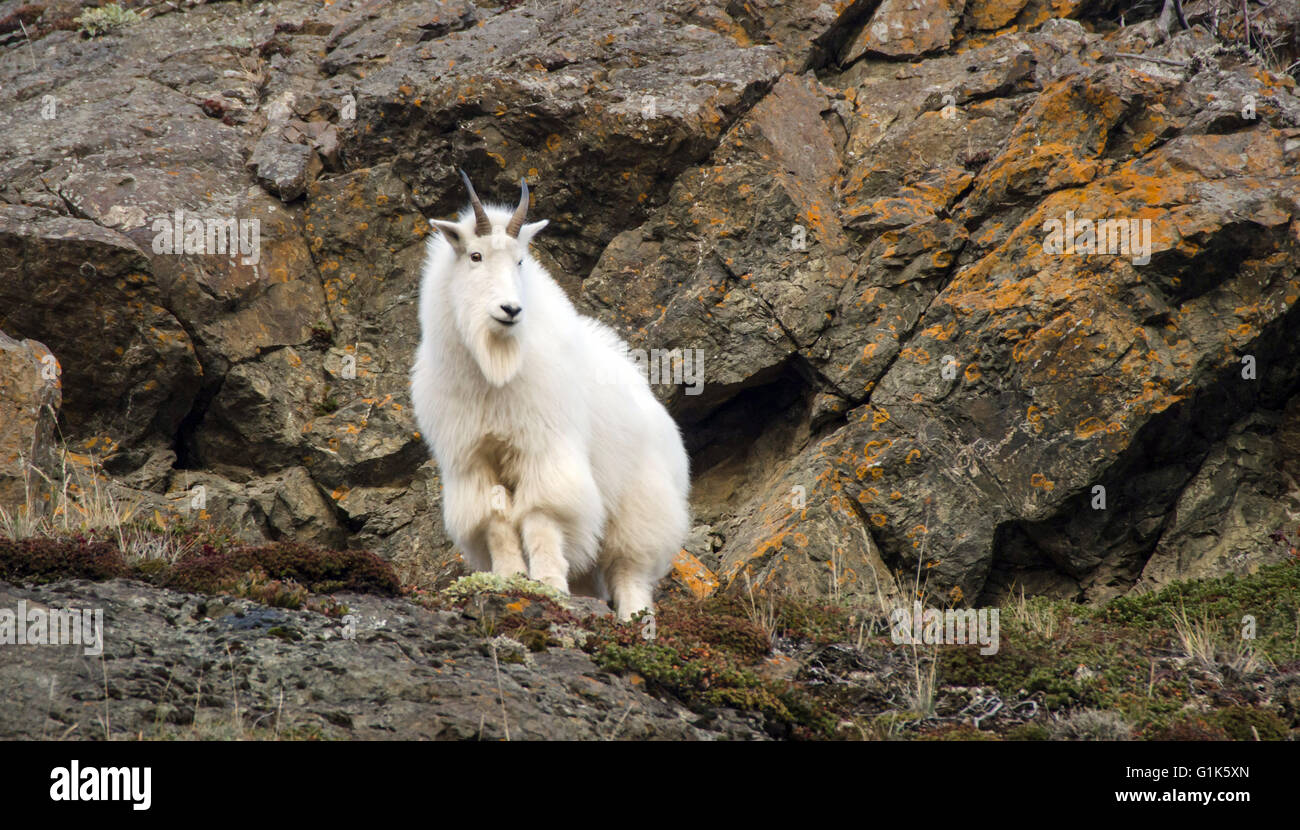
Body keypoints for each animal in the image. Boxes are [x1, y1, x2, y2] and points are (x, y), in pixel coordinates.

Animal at [410, 171, 691, 621]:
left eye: (520, 261)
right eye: (475, 256)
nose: (510, 310)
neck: (494, 371)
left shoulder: (544, 449)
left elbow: (541, 515)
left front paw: (547, 583)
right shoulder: (472, 459)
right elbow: (495, 518)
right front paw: (508, 577)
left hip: (639, 506)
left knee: (629, 572)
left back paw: (633, 623)